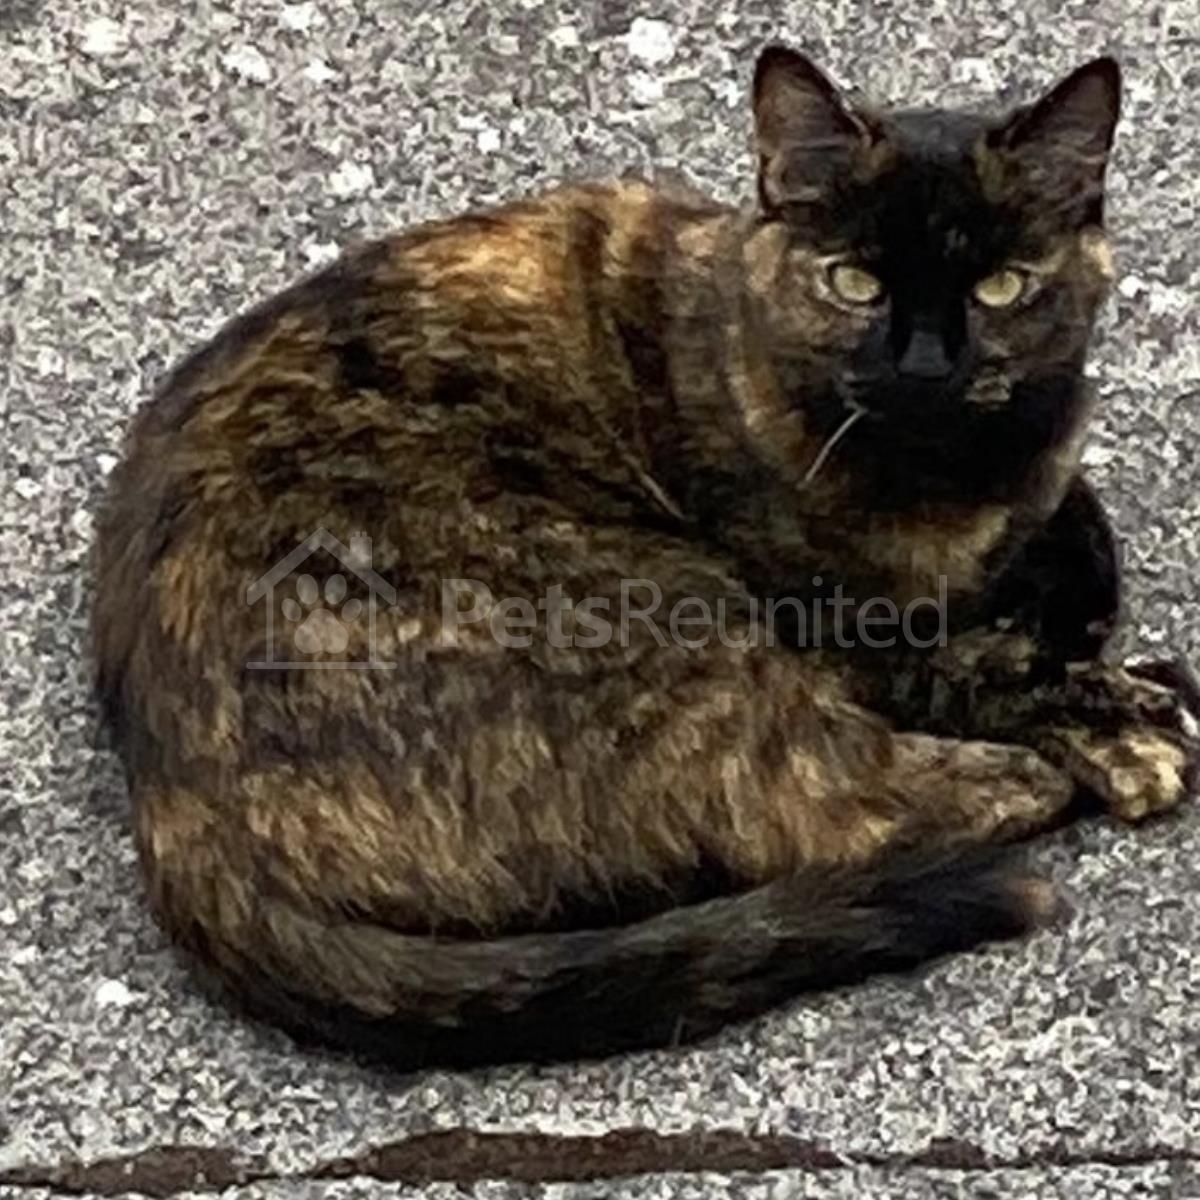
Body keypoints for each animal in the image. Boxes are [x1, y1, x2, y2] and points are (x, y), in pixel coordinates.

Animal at [92, 45, 1199, 1067]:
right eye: (853, 282)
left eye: (1003, 287)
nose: (926, 364)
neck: (958, 484)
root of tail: (174, 816)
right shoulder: (853, 632)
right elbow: (976, 669)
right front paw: (1114, 716)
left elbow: (1078, 536)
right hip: (655, 604)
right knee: (826, 806)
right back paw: (1041, 777)